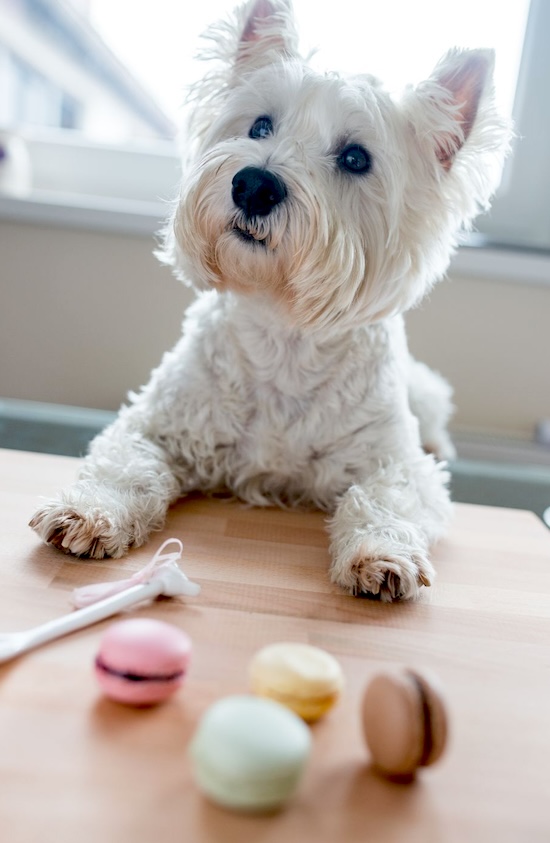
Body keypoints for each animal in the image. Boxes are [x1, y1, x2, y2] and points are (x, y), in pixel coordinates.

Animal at [30, 0, 512, 600]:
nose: (254, 185)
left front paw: (381, 557)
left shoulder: (392, 462)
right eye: (260, 125)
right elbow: (125, 463)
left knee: (435, 424)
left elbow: (386, 496)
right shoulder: (157, 423)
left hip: (422, 391)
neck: (284, 336)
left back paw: (441, 446)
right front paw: (87, 514)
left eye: (356, 158)